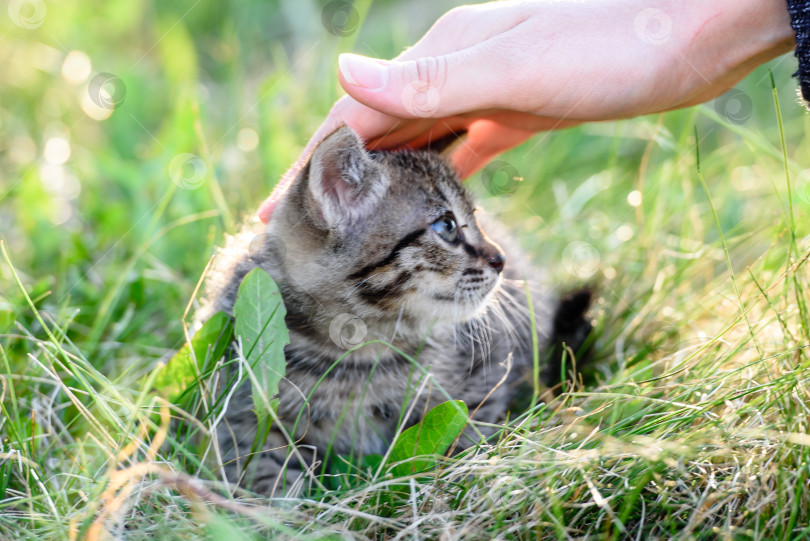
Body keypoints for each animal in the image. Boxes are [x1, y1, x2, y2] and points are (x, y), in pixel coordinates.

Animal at [198, 125, 584, 494]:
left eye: (475, 218)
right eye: (446, 226)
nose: (500, 259)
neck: (356, 350)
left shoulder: (486, 374)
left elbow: (460, 435)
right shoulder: (241, 406)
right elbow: (258, 465)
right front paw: (276, 505)